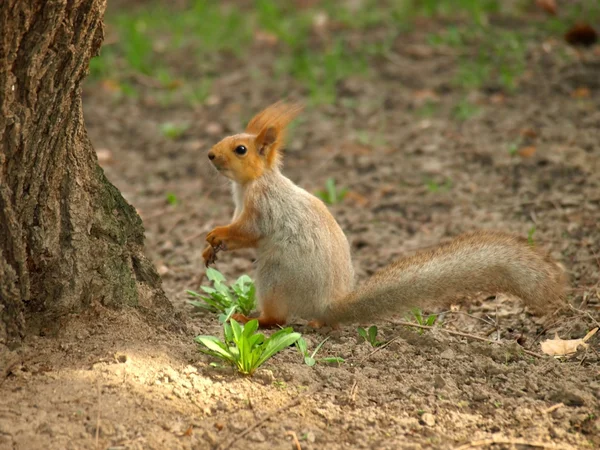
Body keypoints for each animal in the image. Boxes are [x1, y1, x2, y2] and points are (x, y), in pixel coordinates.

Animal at [202, 101, 568, 326]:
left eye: (240, 149)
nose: (209, 155)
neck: (251, 184)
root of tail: (327, 306)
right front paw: (210, 248)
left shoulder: (263, 207)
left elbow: (249, 233)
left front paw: (216, 234)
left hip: (275, 276)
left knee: (277, 320)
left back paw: (251, 319)